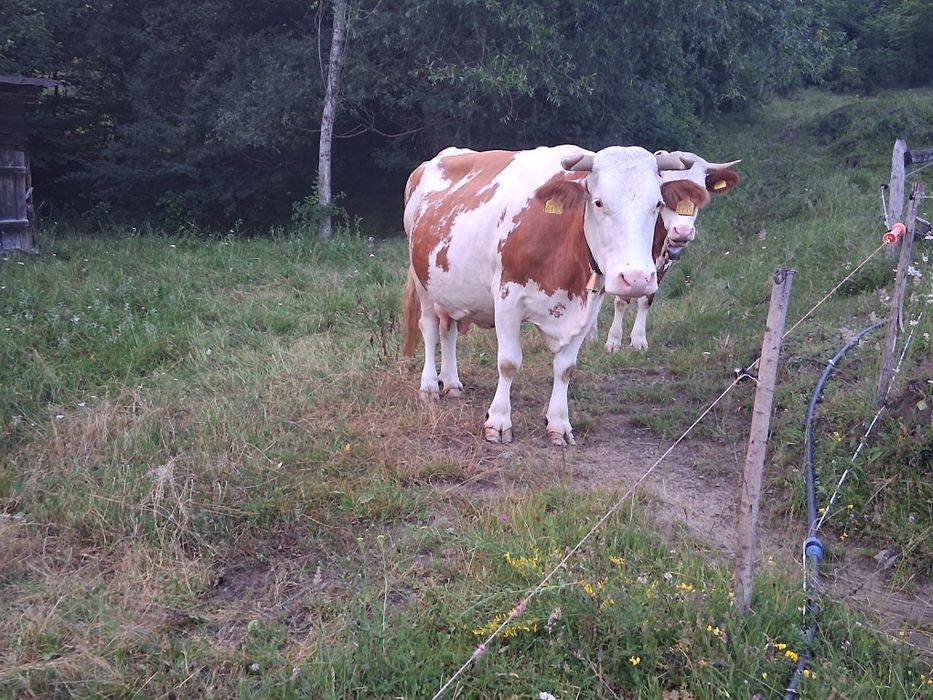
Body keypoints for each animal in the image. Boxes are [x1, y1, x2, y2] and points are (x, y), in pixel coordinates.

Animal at [401, 144, 709, 446]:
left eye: (657, 204)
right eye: (598, 202)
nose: (636, 279)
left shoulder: (588, 306)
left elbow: (565, 368)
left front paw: (559, 424)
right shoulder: (507, 299)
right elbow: (508, 363)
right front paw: (498, 422)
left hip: (450, 288)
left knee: (448, 328)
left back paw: (451, 383)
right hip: (423, 280)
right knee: (430, 327)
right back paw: (429, 385)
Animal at [603, 152, 740, 352]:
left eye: (701, 193)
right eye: (665, 194)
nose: (682, 231)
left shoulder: (662, 265)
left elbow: (646, 299)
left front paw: (639, 339)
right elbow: (621, 299)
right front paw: (613, 340)